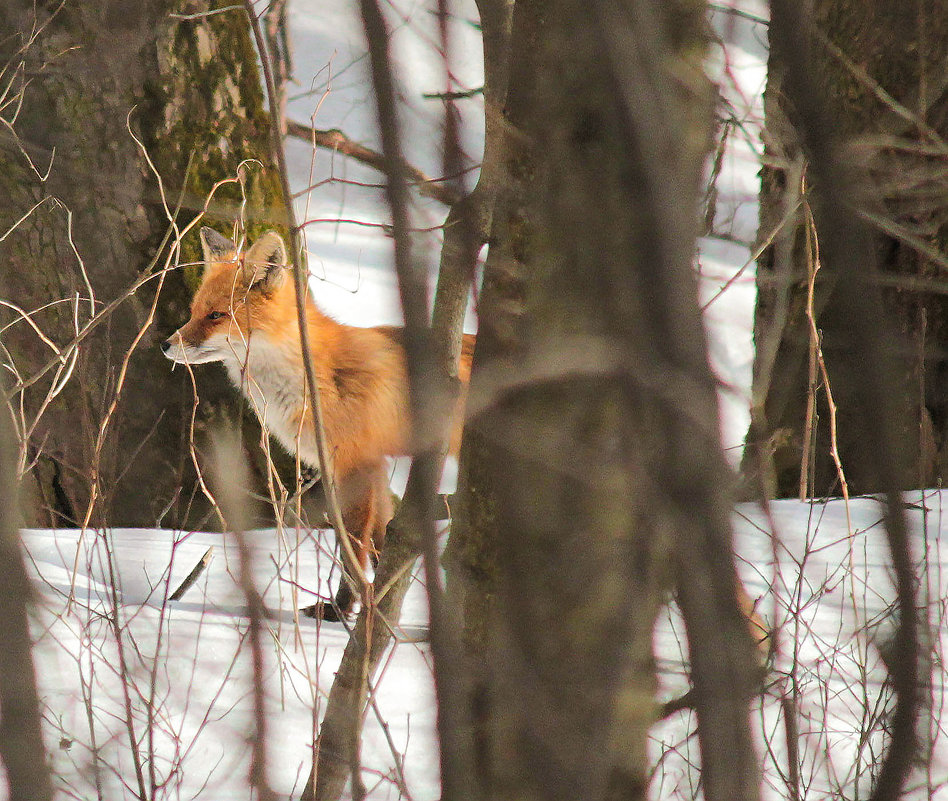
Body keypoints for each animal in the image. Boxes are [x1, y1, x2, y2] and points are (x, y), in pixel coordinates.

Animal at [165, 228, 474, 616]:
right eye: (194, 313)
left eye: (216, 315)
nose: (165, 345)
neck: (310, 375)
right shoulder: (370, 465)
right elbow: (380, 540)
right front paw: (377, 605)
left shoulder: (355, 464)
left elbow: (352, 550)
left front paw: (343, 611)